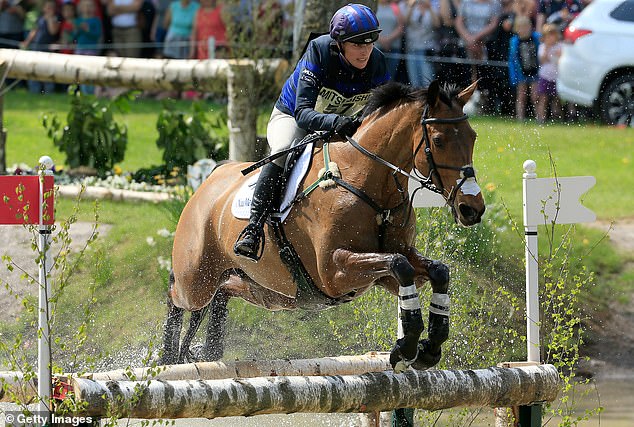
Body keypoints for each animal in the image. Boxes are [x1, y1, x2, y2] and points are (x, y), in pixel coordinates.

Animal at [158, 81, 484, 372]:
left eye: (472, 137)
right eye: (438, 140)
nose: (472, 209)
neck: (367, 182)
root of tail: (212, 177)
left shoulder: (389, 271)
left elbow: (434, 270)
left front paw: (429, 348)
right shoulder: (335, 271)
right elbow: (398, 264)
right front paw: (406, 348)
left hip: (264, 289)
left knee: (222, 295)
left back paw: (205, 352)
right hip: (197, 280)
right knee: (177, 294)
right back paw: (166, 358)